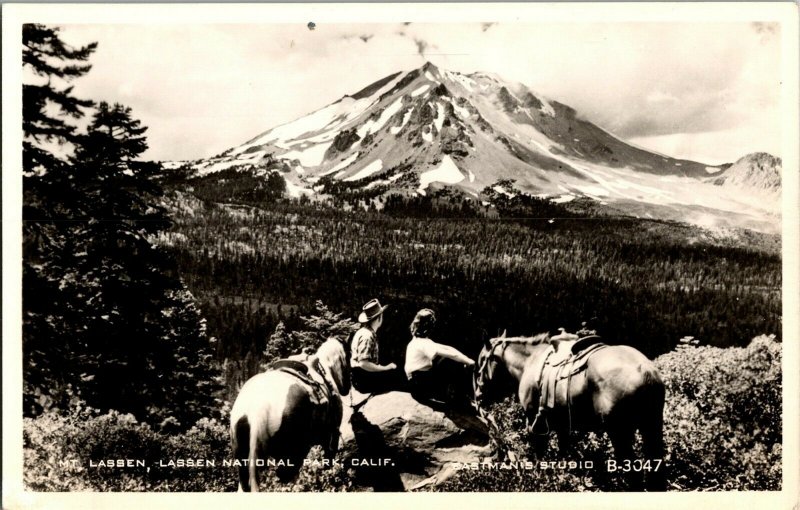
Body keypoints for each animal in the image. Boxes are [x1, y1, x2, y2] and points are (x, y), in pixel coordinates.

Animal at [227, 338, 348, 490]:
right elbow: (328, 461)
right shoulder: (331, 434)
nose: (346, 388)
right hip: (290, 453)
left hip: (240, 452)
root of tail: (256, 408)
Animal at [472, 332, 664, 488]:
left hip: (620, 434)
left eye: (480, 362)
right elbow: (563, 454)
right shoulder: (562, 427)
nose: (477, 396)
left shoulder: (535, 423)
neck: (530, 362)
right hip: (652, 428)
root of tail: (644, 368)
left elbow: (539, 455)